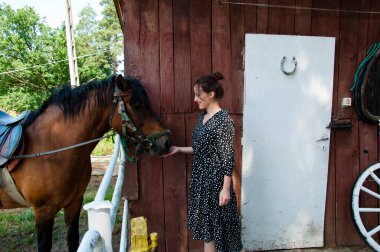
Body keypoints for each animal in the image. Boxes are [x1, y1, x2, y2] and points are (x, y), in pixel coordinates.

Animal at [0, 74, 171, 251]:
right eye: (136, 105)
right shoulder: (43, 211)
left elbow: (73, 240)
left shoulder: (74, 203)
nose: (166, 141)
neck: (51, 146)